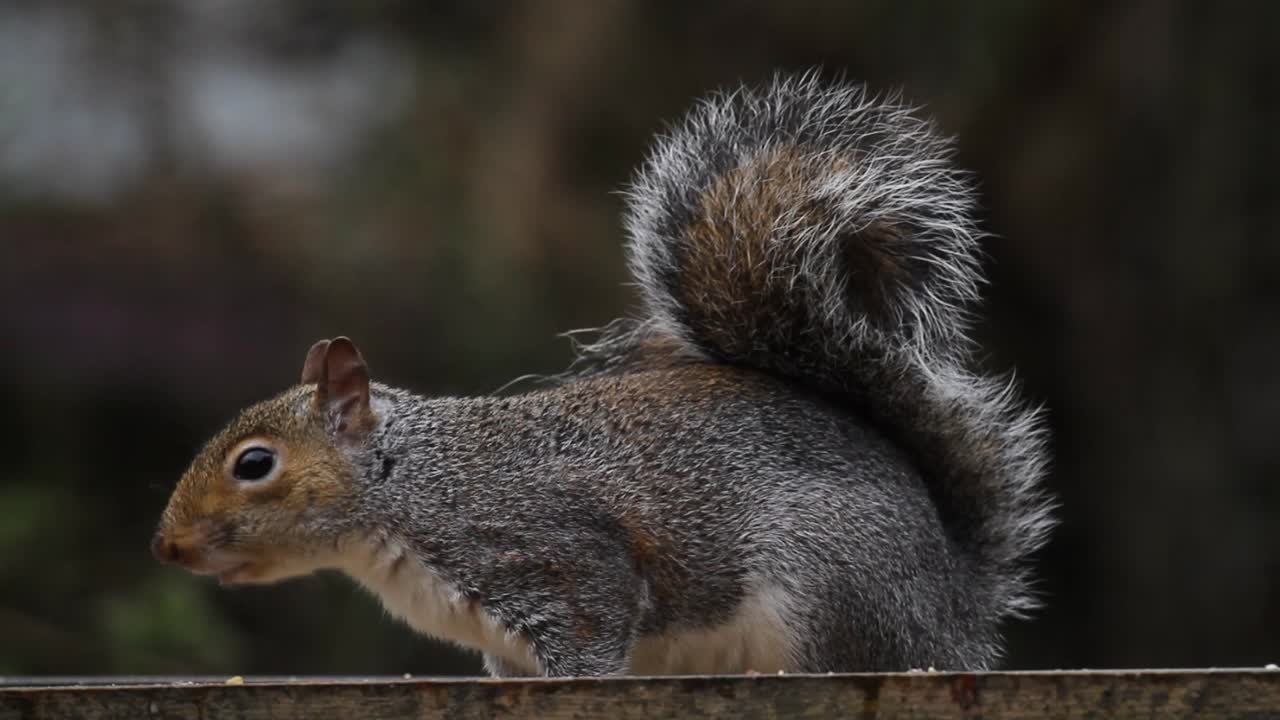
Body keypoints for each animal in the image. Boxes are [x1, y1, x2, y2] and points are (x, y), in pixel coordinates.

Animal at [152, 73, 1053, 676]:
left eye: (254, 464)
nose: (166, 547)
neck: (406, 489)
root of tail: (955, 609)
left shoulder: (559, 561)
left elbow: (589, 641)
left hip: (829, 594)